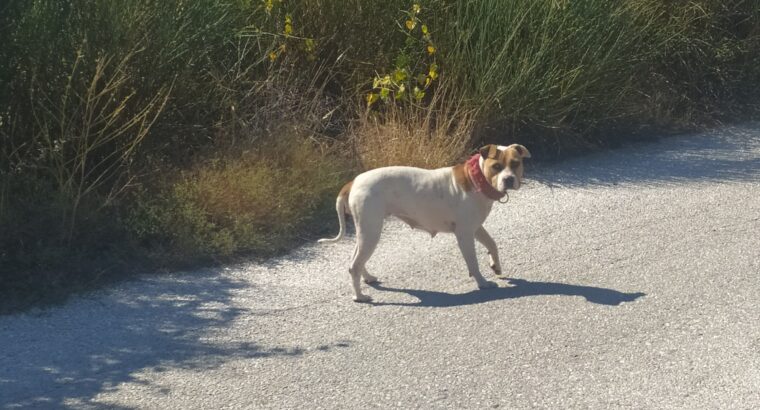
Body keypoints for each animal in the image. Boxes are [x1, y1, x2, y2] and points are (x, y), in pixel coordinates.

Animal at [320, 144, 528, 302]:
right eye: (496, 166)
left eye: (515, 164)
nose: (509, 179)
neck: (476, 179)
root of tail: (353, 182)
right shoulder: (465, 234)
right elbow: (473, 263)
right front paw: (482, 283)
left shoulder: (476, 228)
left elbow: (492, 244)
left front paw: (495, 265)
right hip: (371, 232)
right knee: (354, 265)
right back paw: (360, 296)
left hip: (365, 231)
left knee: (356, 259)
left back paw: (368, 278)